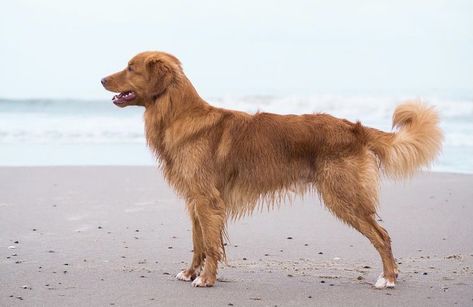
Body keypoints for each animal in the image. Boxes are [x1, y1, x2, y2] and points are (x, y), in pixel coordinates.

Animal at [100, 50, 442, 288]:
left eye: (130, 67)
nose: (101, 79)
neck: (180, 116)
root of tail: (354, 128)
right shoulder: (194, 200)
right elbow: (198, 243)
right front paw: (190, 273)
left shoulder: (208, 200)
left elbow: (210, 244)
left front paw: (206, 279)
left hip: (344, 196)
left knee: (382, 235)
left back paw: (388, 278)